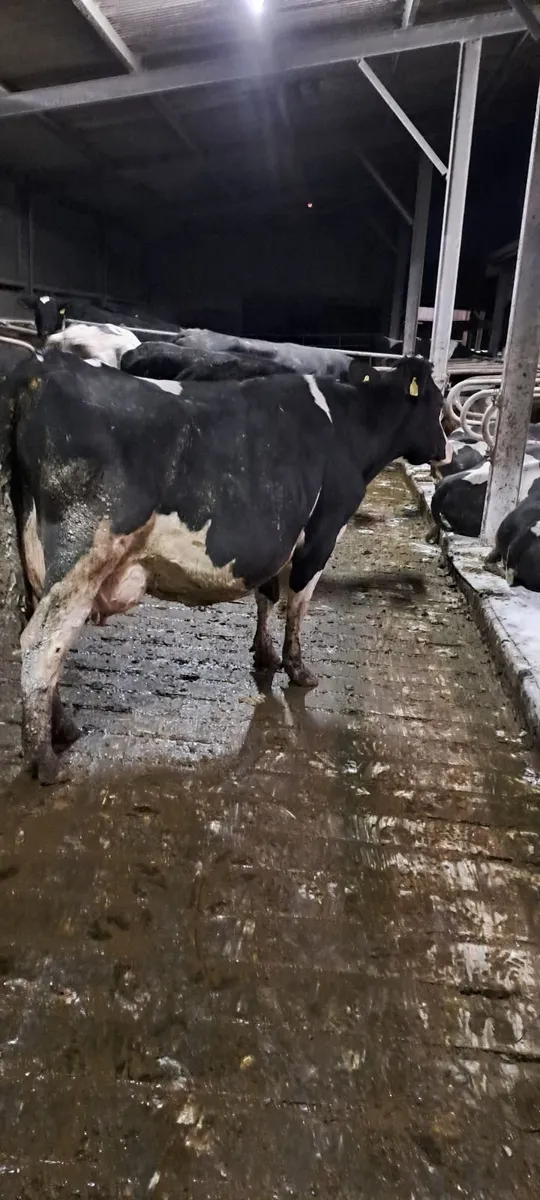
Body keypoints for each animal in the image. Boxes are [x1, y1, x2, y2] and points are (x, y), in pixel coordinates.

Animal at [0, 352, 447, 784]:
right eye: (438, 404)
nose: (445, 451)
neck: (350, 423)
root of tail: (40, 370)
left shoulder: (277, 542)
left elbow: (267, 596)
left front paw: (265, 655)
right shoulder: (322, 531)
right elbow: (298, 603)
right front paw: (298, 668)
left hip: (36, 558)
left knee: (36, 631)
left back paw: (63, 730)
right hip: (83, 556)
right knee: (42, 642)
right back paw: (45, 761)